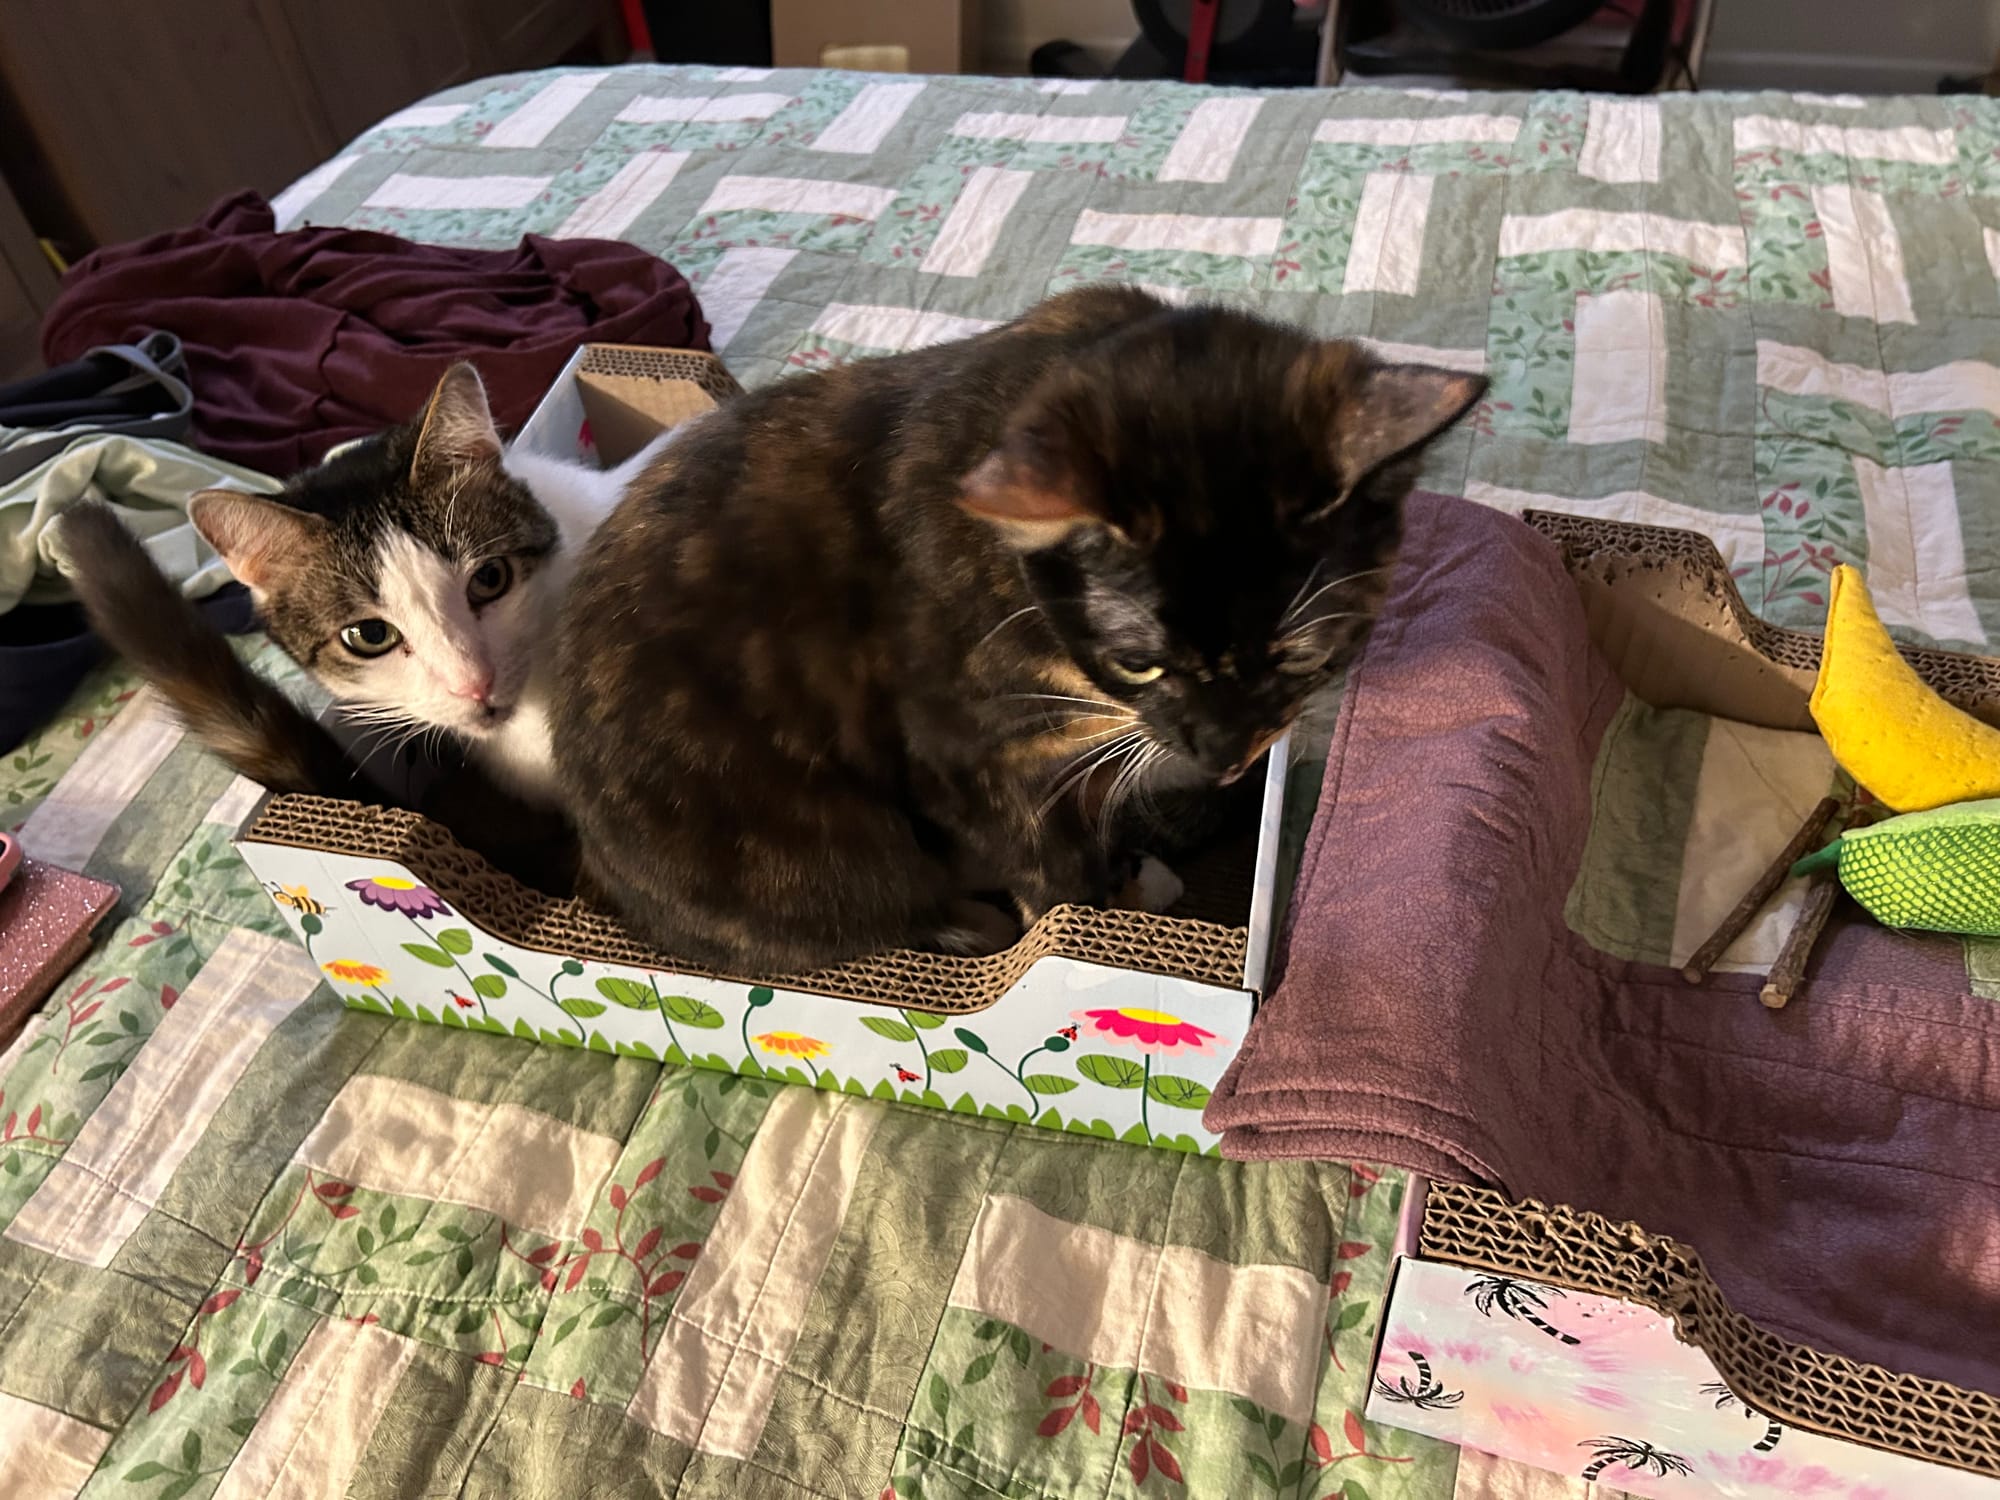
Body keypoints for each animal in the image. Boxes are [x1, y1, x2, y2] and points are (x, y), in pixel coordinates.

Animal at [564, 290, 1488, 976]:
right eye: (1139, 663)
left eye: (1300, 652)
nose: (1226, 754)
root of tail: (599, 871)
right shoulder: (961, 754)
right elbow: (1050, 868)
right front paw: (1093, 923)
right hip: (828, 849)